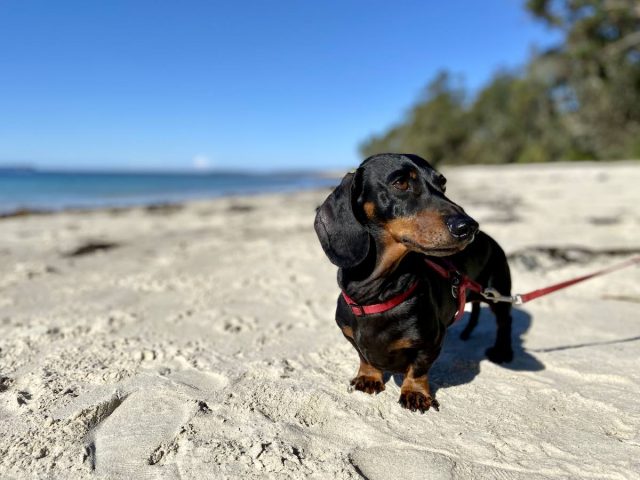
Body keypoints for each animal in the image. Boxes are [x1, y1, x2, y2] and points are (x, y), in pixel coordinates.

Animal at [316, 154, 516, 412]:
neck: (376, 294)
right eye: (401, 183)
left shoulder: (431, 341)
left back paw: (503, 351)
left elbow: (419, 368)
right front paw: (369, 377)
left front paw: (415, 393)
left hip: (499, 292)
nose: (469, 227)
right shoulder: (349, 334)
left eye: (442, 184)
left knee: (505, 321)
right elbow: (363, 356)